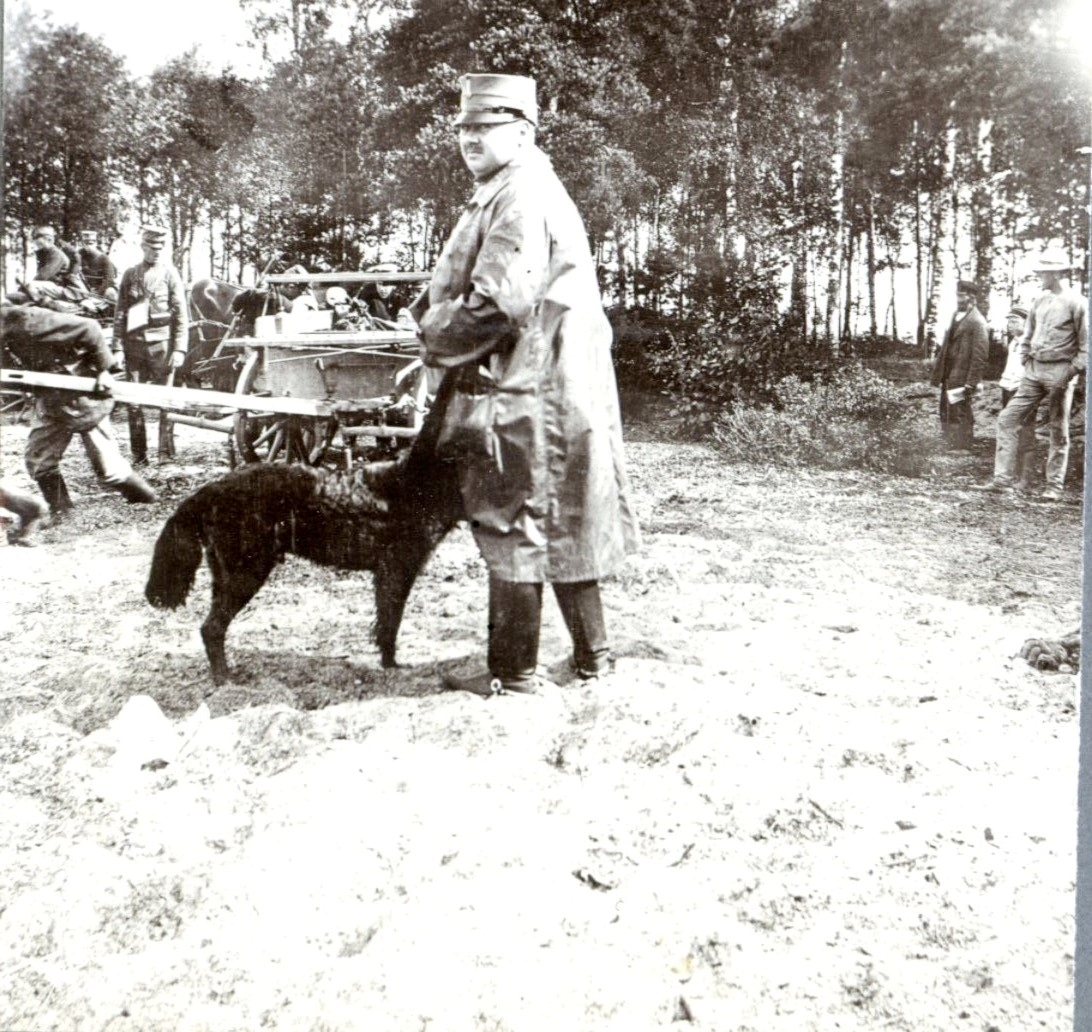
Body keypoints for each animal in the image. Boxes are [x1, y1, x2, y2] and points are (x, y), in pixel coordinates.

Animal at [145, 376, 464, 683]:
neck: (416, 481)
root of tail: (208, 490)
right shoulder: (395, 569)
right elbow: (390, 623)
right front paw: (391, 666)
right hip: (246, 573)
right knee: (212, 627)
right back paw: (226, 681)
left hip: (226, 575)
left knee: (210, 627)